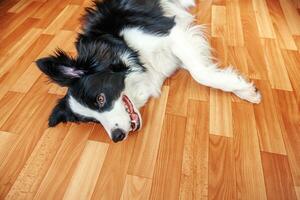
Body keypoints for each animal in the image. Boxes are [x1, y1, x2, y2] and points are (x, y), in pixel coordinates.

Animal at [35, 0, 260, 142]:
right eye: (92, 121)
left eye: (100, 98)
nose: (117, 137)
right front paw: (241, 88)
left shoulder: (171, 32)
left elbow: (200, 74)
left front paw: (244, 90)